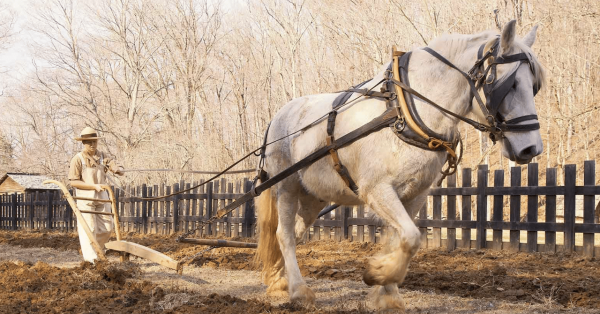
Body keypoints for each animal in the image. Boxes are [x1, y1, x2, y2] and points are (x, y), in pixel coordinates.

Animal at [253, 20, 544, 310]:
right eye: (511, 84)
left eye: (534, 86)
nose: (532, 148)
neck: (403, 112)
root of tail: (276, 119)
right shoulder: (377, 189)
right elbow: (411, 237)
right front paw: (377, 273)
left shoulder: (415, 194)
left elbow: (402, 239)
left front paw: (389, 291)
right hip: (287, 187)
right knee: (284, 235)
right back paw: (298, 290)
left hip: (314, 197)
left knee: (297, 232)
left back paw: (279, 280)